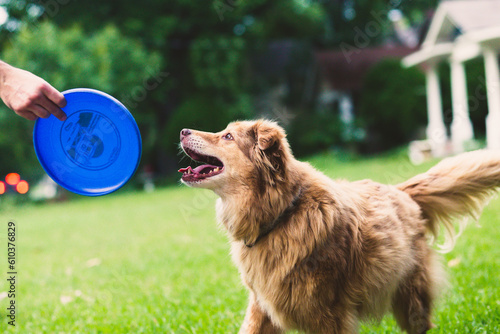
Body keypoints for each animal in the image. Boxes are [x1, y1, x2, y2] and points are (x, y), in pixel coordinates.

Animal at [180, 119, 500, 332]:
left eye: (227, 136)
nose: (183, 130)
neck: (282, 215)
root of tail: (402, 192)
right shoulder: (262, 306)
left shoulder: (328, 313)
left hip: (411, 298)